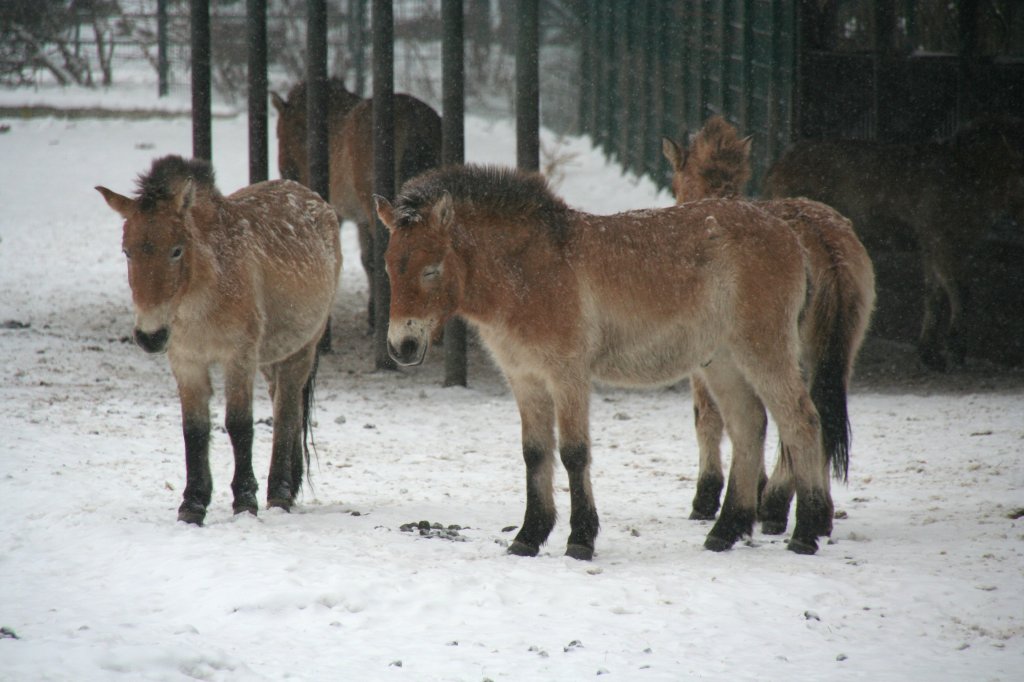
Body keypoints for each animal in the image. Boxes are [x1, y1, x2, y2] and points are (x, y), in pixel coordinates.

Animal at [97, 155, 342, 524]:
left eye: (176, 251)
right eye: (127, 252)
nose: (150, 336)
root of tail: (316, 200)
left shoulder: (238, 357)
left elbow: (239, 425)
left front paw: (245, 501)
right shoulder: (186, 361)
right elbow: (195, 430)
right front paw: (193, 504)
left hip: (303, 349)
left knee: (286, 413)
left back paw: (280, 492)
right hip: (272, 356)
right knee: (285, 404)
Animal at [376, 161, 847, 557]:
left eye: (431, 269)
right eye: (388, 268)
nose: (402, 346)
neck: (528, 272)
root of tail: (790, 235)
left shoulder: (568, 376)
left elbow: (573, 453)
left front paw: (580, 540)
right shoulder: (525, 379)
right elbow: (535, 453)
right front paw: (528, 537)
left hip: (763, 350)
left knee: (801, 421)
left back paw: (805, 532)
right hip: (723, 361)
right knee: (749, 428)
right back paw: (725, 531)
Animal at [667, 115, 876, 532]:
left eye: (673, 184)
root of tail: (825, 240)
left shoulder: (707, 361)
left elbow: (710, 418)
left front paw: (710, 497)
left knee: (798, 418)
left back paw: (777, 503)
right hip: (836, 352)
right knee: (821, 414)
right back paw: (814, 509)